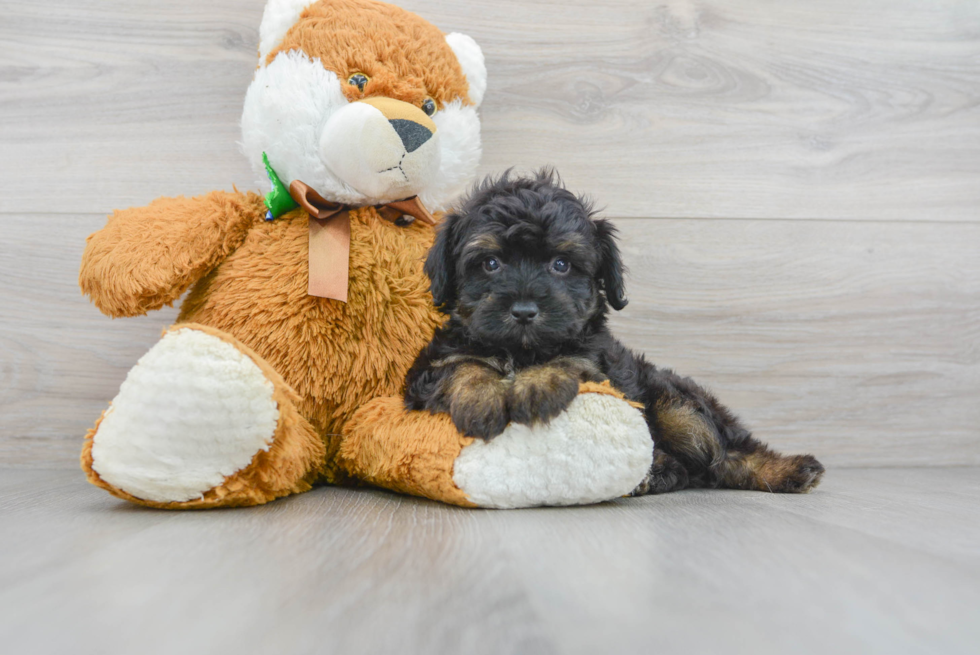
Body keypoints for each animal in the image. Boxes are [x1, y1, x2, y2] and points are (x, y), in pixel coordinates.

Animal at [406, 172, 828, 494]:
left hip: (675, 404)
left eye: (561, 264)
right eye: (490, 263)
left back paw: (787, 470)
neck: (522, 351)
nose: (525, 311)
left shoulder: (599, 362)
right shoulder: (428, 368)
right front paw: (481, 397)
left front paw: (538, 384)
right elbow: (462, 366)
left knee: (724, 452)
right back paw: (658, 472)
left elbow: (569, 357)